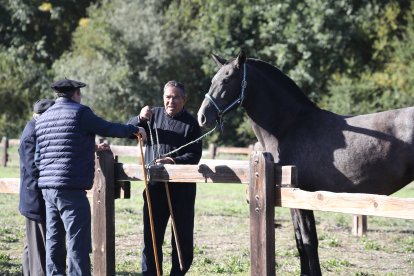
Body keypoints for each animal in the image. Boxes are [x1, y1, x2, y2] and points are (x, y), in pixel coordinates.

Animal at [196, 50, 414, 274]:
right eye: (213, 80)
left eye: (227, 79)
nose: (202, 117)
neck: (289, 126)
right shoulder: (289, 197)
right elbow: (299, 240)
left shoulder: (303, 195)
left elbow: (309, 240)